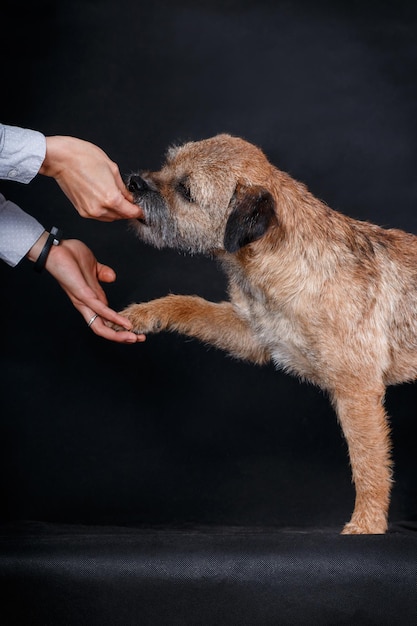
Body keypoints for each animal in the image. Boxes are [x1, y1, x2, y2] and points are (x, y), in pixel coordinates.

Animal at [115, 132, 416, 532]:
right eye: (167, 163)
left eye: (186, 190)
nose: (133, 181)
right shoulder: (254, 333)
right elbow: (191, 305)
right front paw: (144, 313)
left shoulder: (358, 390)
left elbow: (369, 463)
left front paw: (367, 523)